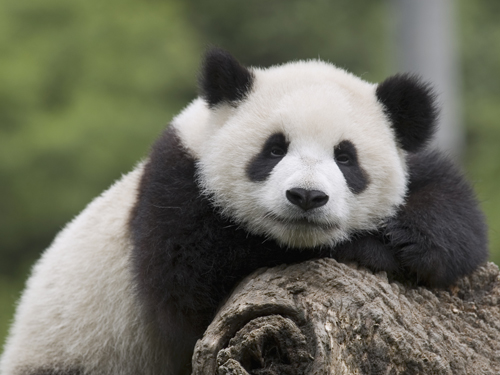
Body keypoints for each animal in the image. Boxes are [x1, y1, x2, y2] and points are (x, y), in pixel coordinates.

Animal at [0, 48, 488, 374]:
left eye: (346, 157)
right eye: (274, 149)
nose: (306, 197)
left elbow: (454, 208)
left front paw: (402, 240)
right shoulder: (174, 184)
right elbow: (189, 281)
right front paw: (367, 247)